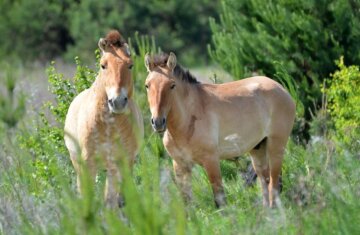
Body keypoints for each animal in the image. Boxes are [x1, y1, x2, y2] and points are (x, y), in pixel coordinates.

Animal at [64, 30, 144, 208]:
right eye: (103, 65)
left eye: (130, 65)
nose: (117, 101)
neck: (108, 126)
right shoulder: (87, 162)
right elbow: (88, 197)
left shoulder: (125, 161)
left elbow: (116, 199)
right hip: (79, 163)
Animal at [143, 51, 296, 207]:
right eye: (147, 85)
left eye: (172, 85)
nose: (158, 122)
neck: (187, 123)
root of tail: (282, 89)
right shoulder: (180, 165)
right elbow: (187, 203)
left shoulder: (211, 162)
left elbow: (219, 200)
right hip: (258, 150)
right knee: (265, 184)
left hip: (276, 148)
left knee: (274, 185)